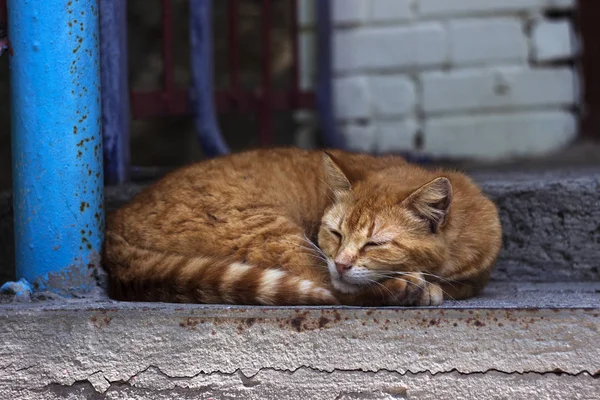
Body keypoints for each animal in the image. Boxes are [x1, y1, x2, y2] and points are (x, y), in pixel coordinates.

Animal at [104, 147, 502, 306]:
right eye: (336, 233)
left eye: (374, 244)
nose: (341, 263)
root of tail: (113, 229)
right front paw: (423, 288)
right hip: (271, 231)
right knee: (329, 290)